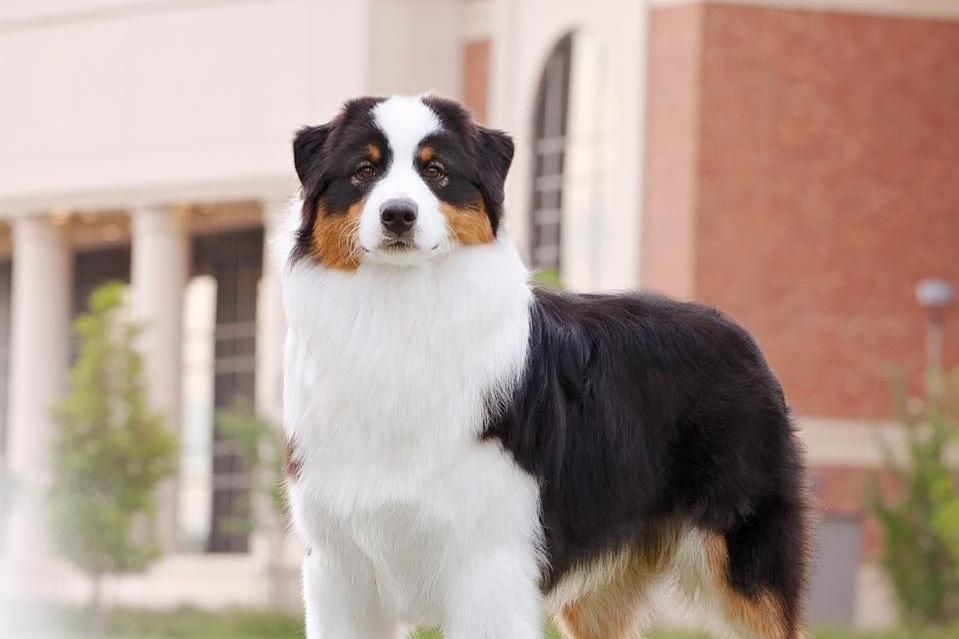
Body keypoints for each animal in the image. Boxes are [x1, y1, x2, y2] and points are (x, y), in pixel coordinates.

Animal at [278, 95, 808, 639]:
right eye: (363, 170)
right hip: (600, 593)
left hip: (744, 560)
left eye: (437, 172)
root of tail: (738, 333)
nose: (398, 215)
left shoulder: (487, 561)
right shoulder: (340, 567)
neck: (398, 311)